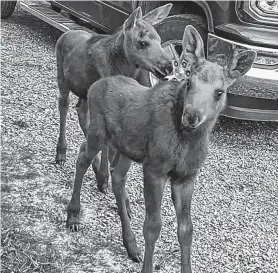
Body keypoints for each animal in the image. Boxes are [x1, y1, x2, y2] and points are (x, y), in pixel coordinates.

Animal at [55, 3, 173, 191]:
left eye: (161, 41)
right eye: (143, 43)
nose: (168, 67)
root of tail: (65, 34)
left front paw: (107, 170)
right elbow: (108, 144)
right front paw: (103, 177)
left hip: (85, 93)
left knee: (81, 113)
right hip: (63, 80)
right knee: (64, 107)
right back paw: (61, 152)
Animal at [65, 25, 256, 270]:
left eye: (219, 92)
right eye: (189, 82)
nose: (191, 116)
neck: (188, 142)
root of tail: (96, 84)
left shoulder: (186, 177)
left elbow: (186, 230)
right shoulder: (155, 170)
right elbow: (153, 226)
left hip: (127, 148)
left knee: (116, 176)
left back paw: (130, 243)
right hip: (98, 134)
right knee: (82, 157)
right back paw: (73, 215)